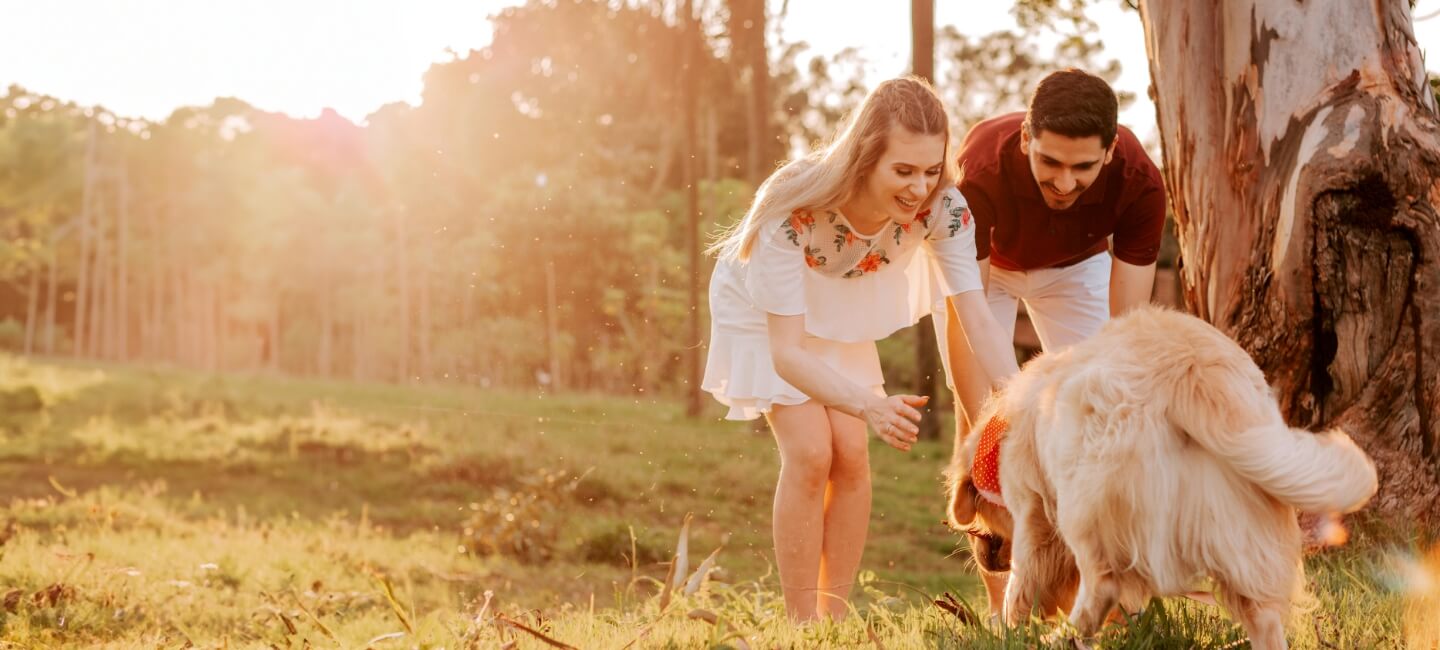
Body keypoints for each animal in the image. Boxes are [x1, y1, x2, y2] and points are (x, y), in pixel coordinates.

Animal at [938, 308, 1376, 648]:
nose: (983, 555)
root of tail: (1192, 369)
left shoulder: (1033, 511)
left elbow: (1024, 578)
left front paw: (1008, 629)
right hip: (1240, 522)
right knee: (1263, 615)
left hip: (1084, 503)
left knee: (1103, 583)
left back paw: (1063, 637)